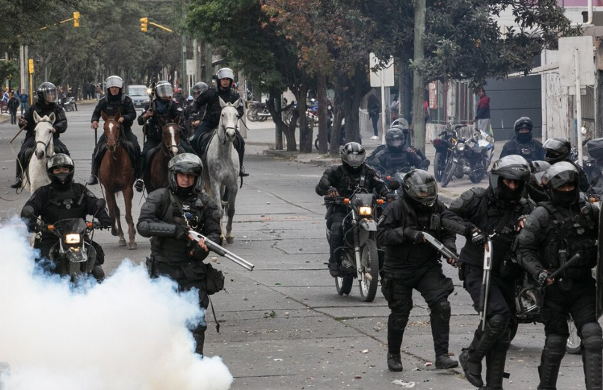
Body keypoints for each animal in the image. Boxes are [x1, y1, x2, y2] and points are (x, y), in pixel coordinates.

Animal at [99, 111, 137, 248]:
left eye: (117, 128)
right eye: (104, 128)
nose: (111, 145)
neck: (115, 162)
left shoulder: (127, 188)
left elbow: (128, 214)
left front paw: (132, 239)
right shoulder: (108, 190)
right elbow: (112, 212)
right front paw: (116, 232)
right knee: (116, 211)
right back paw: (121, 236)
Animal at [203, 96, 241, 244]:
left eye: (237, 115)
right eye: (222, 114)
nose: (230, 134)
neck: (224, 154)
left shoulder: (233, 184)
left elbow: (231, 210)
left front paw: (229, 234)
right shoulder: (215, 182)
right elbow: (218, 210)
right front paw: (220, 235)